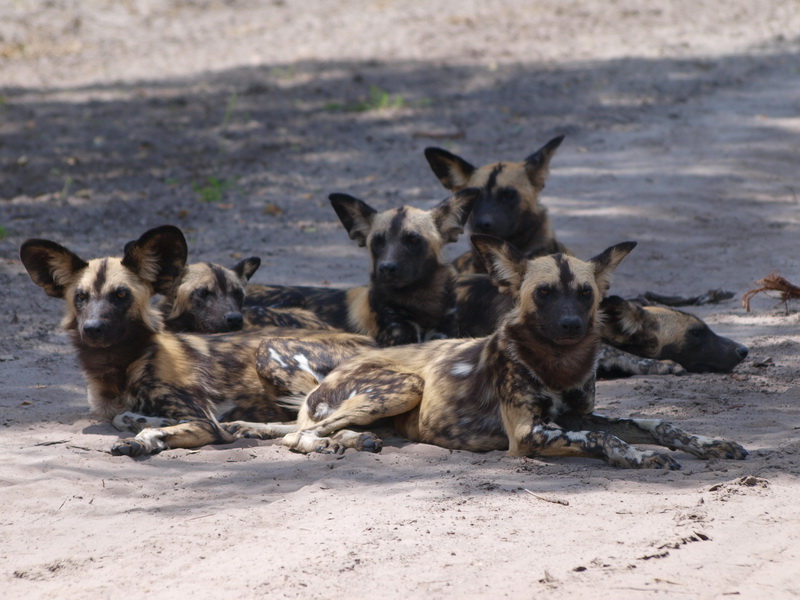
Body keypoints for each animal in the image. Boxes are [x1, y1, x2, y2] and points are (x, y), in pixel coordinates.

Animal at [227, 236, 752, 468]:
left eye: (585, 293)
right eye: (544, 293)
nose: (572, 325)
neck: (559, 364)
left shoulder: (579, 416)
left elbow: (658, 423)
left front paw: (708, 444)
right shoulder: (529, 434)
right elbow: (606, 439)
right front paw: (638, 457)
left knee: (308, 429)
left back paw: (355, 441)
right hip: (402, 386)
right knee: (299, 435)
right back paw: (334, 443)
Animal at [247, 188, 478, 346]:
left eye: (413, 240)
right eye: (377, 241)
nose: (387, 268)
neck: (420, 302)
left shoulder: (444, 334)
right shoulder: (398, 338)